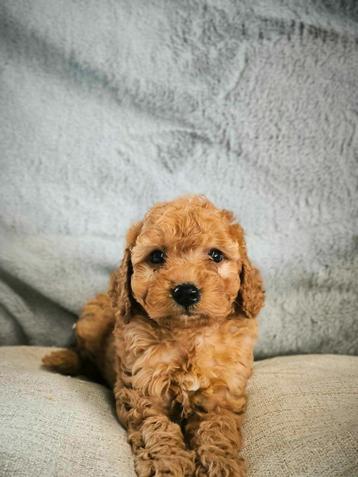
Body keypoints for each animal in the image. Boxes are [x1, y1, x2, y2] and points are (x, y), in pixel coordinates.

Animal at [42, 194, 266, 476]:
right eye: (157, 256)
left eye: (216, 255)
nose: (186, 292)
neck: (188, 334)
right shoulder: (142, 391)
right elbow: (156, 426)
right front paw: (167, 462)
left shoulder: (222, 392)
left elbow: (218, 428)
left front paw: (220, 463)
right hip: (91, 321)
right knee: (83, 355)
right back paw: (61, 360)